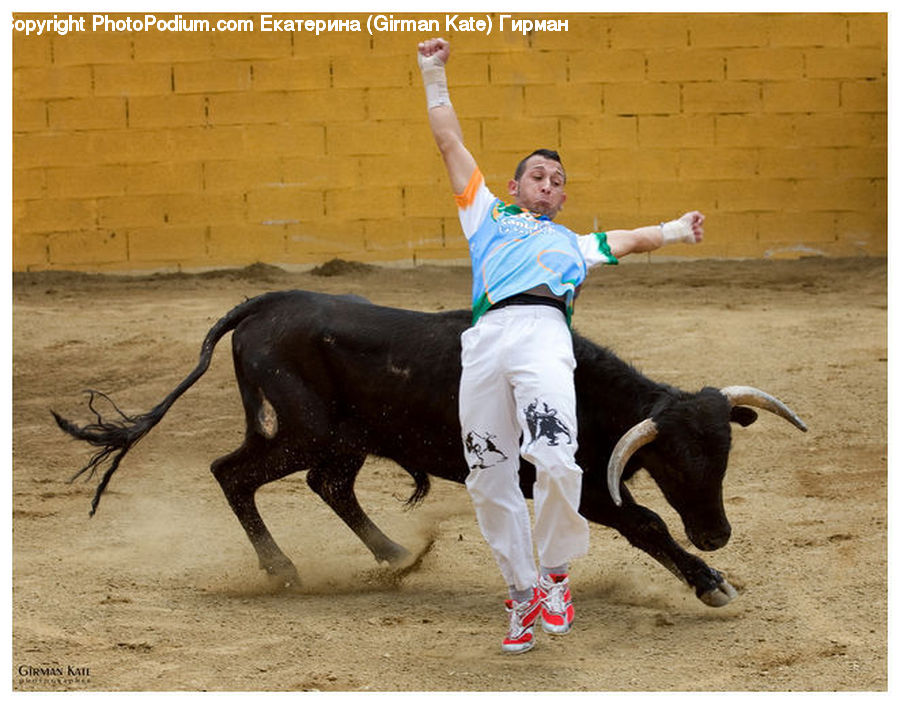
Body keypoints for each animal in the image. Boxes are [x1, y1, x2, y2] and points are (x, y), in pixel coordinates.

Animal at [52, 288, 804, 608]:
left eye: (724, 457)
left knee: (329, 486)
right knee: (232, 473)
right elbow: (645, 523)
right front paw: (711, 584)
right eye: (674, 462)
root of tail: (266, 305)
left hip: (341, 439)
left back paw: (395, 556)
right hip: (302, 432)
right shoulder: (587, 487)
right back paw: (285, 570)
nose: (715, 534)